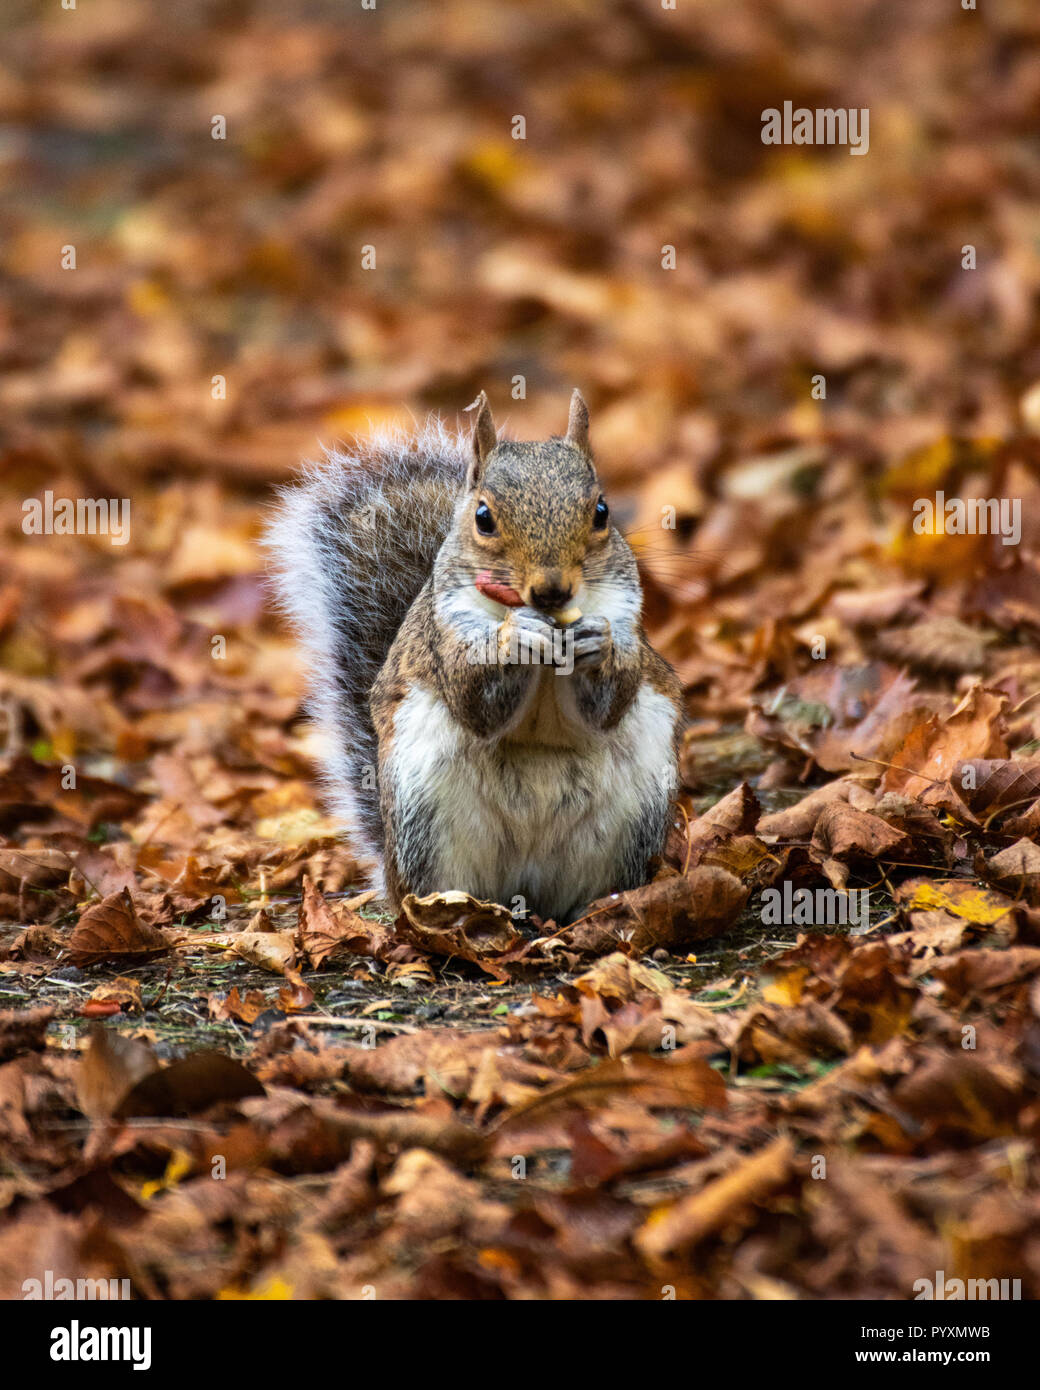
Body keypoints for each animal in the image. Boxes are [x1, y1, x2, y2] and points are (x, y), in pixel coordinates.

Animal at [265, 390, 684, 923]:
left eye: (602, 512)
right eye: (483, 517)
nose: (551, 590)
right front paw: (513, 638)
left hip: (634, 821)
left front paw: (598, 644)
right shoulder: (445, 633)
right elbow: (474, 700)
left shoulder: (627, 617)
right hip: (425, 821)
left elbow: (611, 703)